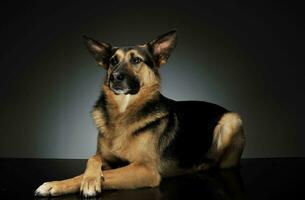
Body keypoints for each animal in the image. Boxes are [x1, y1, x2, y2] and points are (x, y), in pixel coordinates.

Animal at [35, 30, 245, 198]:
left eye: (136, 60)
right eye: (113, 61)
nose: (114, 77)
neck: (123, 112)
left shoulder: (145, 169)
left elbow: (108, 175)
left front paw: (89, 183)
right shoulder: (108, 159)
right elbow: (92, 159)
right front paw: (58, 184)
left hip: (231, 120)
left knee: (219, 162)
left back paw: (202, 164)